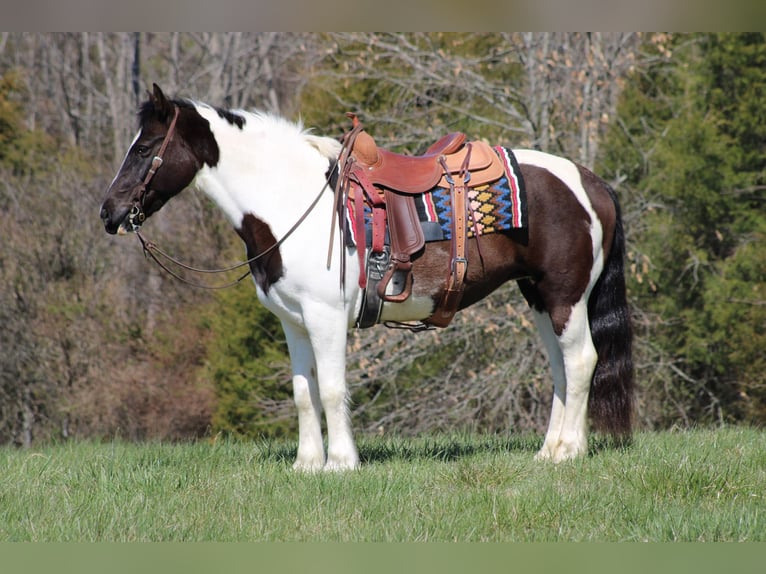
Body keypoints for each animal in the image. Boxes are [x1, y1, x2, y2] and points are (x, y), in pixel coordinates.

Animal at [100, 85, 636, 472]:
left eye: (144, 147)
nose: (109, 213)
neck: (293, 199)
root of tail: (591, 182)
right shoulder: (294, 323)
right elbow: (304, 393)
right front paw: (307, 464)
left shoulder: (327, 317)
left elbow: (333, 389)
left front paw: (340, 463)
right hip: (539, 298)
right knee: (561, 369)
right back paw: (549, 451)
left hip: (566, 297)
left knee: (582, 362)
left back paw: (570, 452)